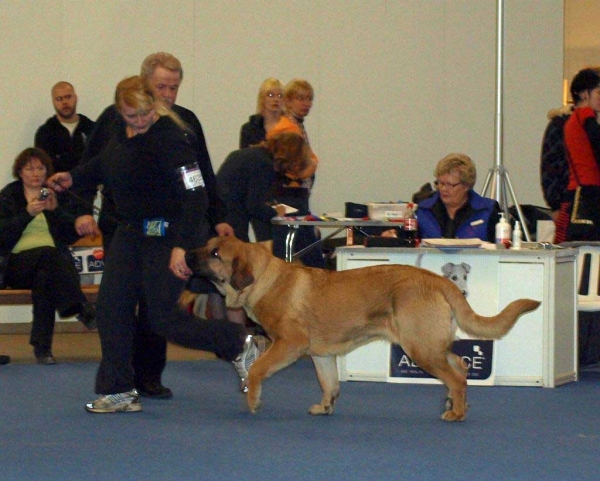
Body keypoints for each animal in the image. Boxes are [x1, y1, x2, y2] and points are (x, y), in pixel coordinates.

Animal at [186, 236, 540, 420]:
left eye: (215, 253)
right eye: (207, 244)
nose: (187, 254)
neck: (264, 279)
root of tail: (438, 279)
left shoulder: (288, 344)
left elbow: (259, 369)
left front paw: (253, 401)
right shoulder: (321, 355)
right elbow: (329, 383)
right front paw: (325, 407)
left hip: (420, 347)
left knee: (455, 376)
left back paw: (456, 414)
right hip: (430, 345)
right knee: (461, 368)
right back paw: (455, 404)